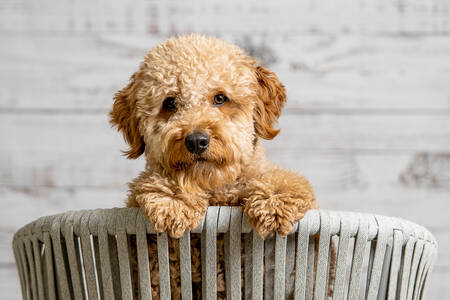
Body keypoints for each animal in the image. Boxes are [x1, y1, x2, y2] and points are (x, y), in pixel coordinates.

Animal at [109, 34, 320, 298]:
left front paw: (274, 202)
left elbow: (286, 181)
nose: (196, 141)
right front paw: (173, 200)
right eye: (170, 103)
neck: (216, 189)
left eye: (220, 98)